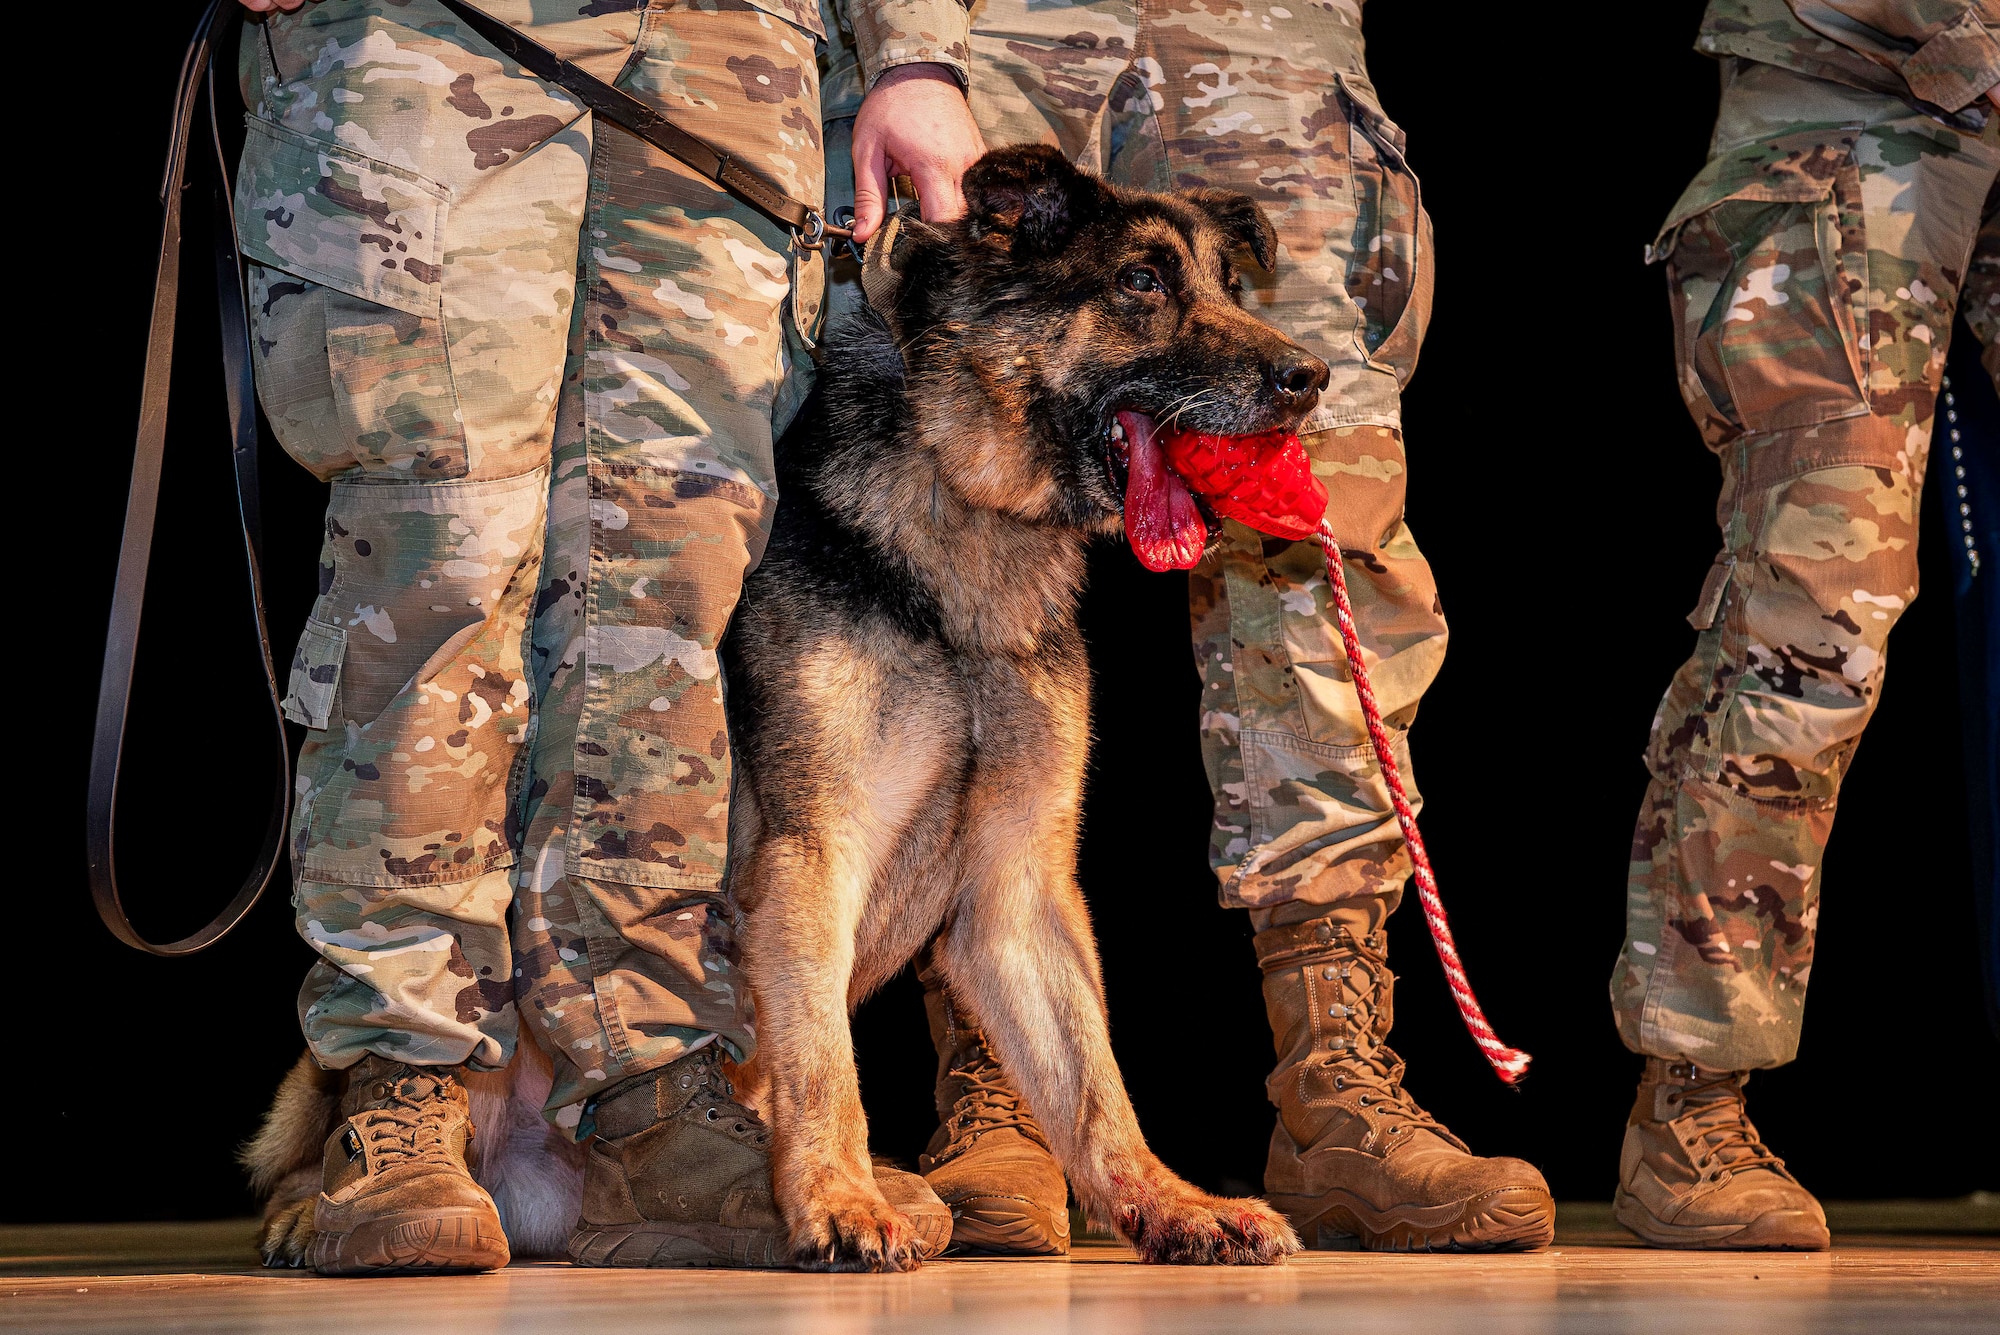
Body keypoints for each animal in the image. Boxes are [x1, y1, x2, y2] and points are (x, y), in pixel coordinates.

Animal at [250, 143, 1328, 1271]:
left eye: (1230, 284)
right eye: (1140, 281)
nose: (1310, 377)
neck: (955, 512)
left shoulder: (1020, 891)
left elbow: (1093, 1083)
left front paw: (1171, 1203)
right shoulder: (814, 854)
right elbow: (825, 1059)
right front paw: (837, 1197)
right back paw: (342, 1203)